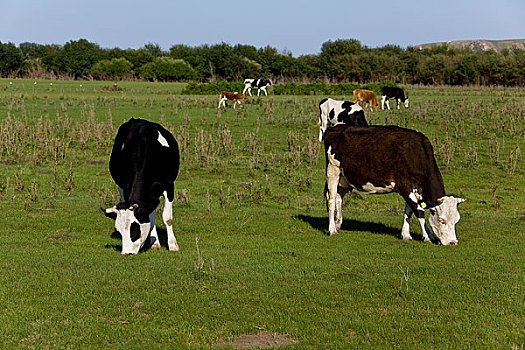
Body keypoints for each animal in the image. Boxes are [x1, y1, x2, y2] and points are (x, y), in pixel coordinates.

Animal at [103, 117, 181, 254]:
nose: (126, 253)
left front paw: (173, 245)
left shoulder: (169, 186)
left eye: (135, 229)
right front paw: (155, 242)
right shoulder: (126, 187)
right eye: (119, 231)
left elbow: (167, 217)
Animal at [324, 124, 462, 245]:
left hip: (345, 179)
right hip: (333, 169)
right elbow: (419, 211)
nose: (453, 242)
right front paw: (428, 236)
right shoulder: (405, 186)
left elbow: (409, 211)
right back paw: (332, 229)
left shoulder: (414, 189)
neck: (415, 154)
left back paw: (338, 223)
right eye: (442, 220)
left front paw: (406, 235)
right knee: (331, 199)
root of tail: (334, 128)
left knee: (339, 197)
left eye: (456, 220)